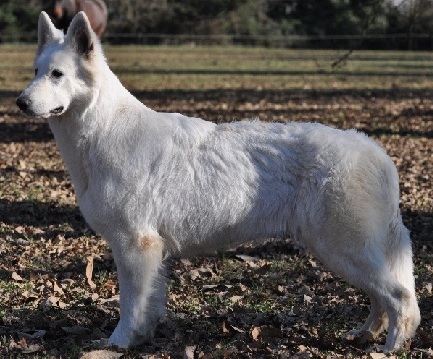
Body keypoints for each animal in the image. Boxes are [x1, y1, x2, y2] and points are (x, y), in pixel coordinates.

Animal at [16, 11, 418, 354]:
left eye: (57, 74)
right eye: (35, 71)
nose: (20, 102)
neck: (105, 129)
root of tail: (376, 151)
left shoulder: (134, 245)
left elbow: (130, 303)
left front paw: (120, 343)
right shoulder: (148, 252)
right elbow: (149, 303)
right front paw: (143, 337)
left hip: (343, 249)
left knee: (400, 298)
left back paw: (392, 347)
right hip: (345, 252)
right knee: (381, 298)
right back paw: (366, 334)